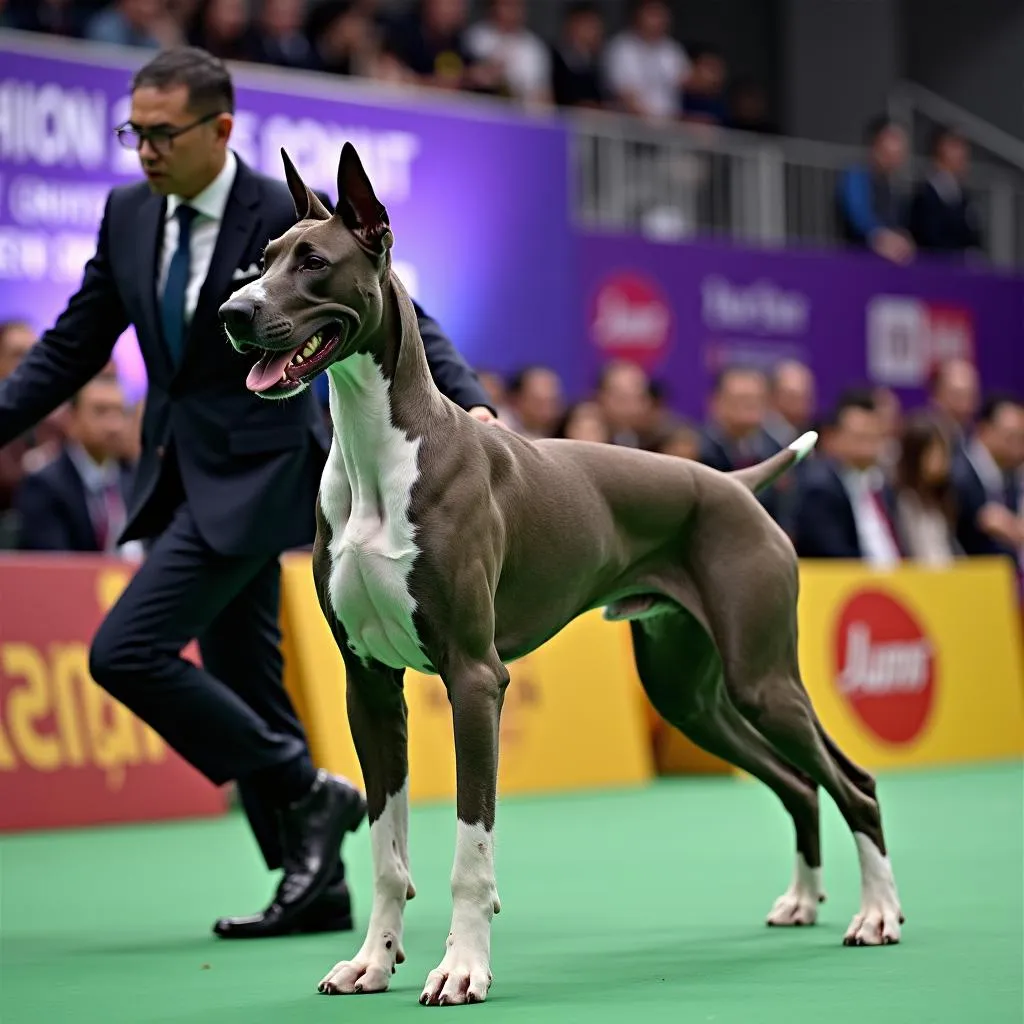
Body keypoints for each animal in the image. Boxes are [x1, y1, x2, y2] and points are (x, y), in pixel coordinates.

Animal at [218, 144, 905, 1007]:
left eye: (313, 262)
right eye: (263, 258)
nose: (231, 313)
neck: (380, 455)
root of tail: (735, 483)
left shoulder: (475, 678)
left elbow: (470, 851)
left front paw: (462, 968)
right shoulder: (368, 686)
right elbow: (387, 853)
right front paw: (372, 961)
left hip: (763, 678)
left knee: (853, 782)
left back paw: (877, 915)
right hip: (689, 697)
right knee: (798, 782)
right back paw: (804, 899)